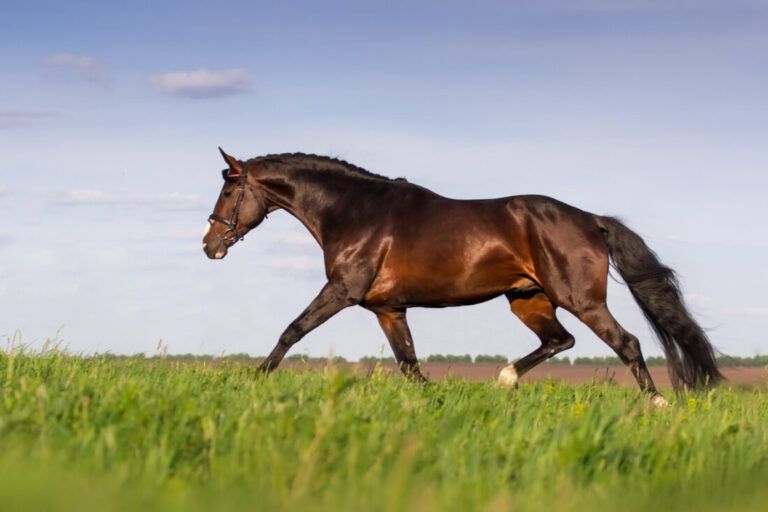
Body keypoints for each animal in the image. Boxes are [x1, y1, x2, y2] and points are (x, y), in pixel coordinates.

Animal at [203, 148, 721, 404]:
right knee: (560, 340)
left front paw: (254, 380)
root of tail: (591, 219)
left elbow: (292, 330)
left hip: (581, 299)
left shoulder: (342, 291)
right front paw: (432, 402)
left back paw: (657, 405)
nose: (210, 245)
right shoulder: (388, 309)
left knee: (626, 343)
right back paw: (505, 379)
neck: (354, 212)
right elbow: (409, 363)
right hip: (527, 299)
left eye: (228, 191)